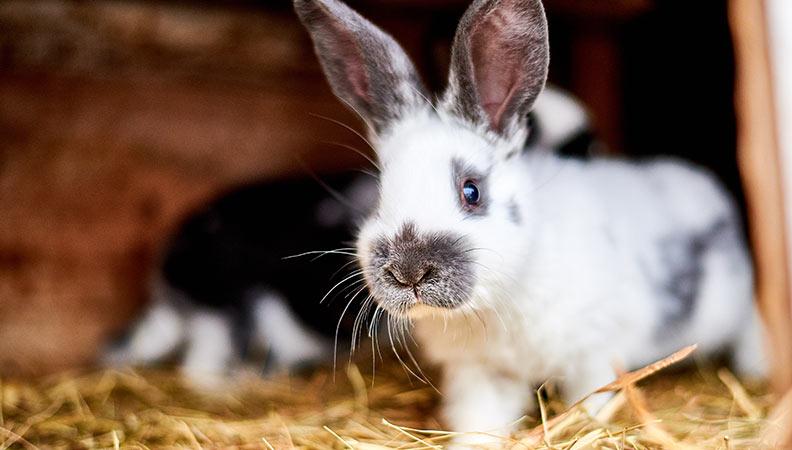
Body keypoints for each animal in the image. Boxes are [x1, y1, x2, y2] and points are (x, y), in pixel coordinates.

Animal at [294, 0, 767, 445]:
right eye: (379, 195)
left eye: (472, 191)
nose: (409, 271)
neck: (496, 301)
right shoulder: (479, 374)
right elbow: (480, 421)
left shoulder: (595, 354)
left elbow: (590, 404)